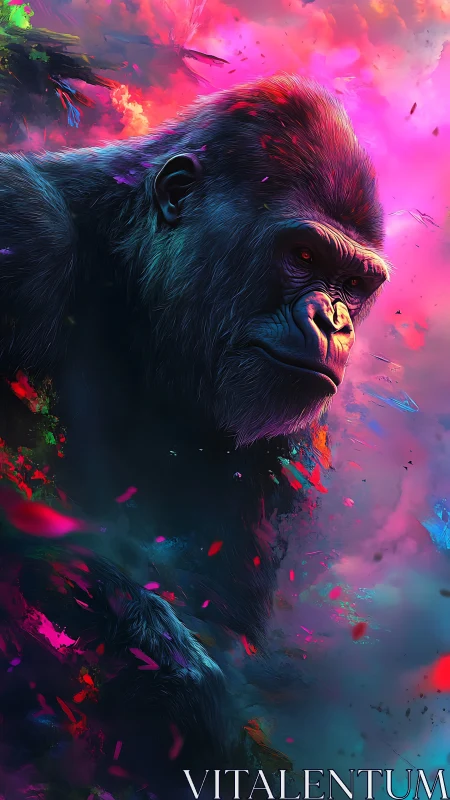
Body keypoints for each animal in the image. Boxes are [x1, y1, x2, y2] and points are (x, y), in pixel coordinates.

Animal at [0, 74, 390, 797]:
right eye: (302, 256)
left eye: (354, 282)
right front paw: (170, 666)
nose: (336, 320)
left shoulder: (295, 435)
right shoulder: (22, 233)